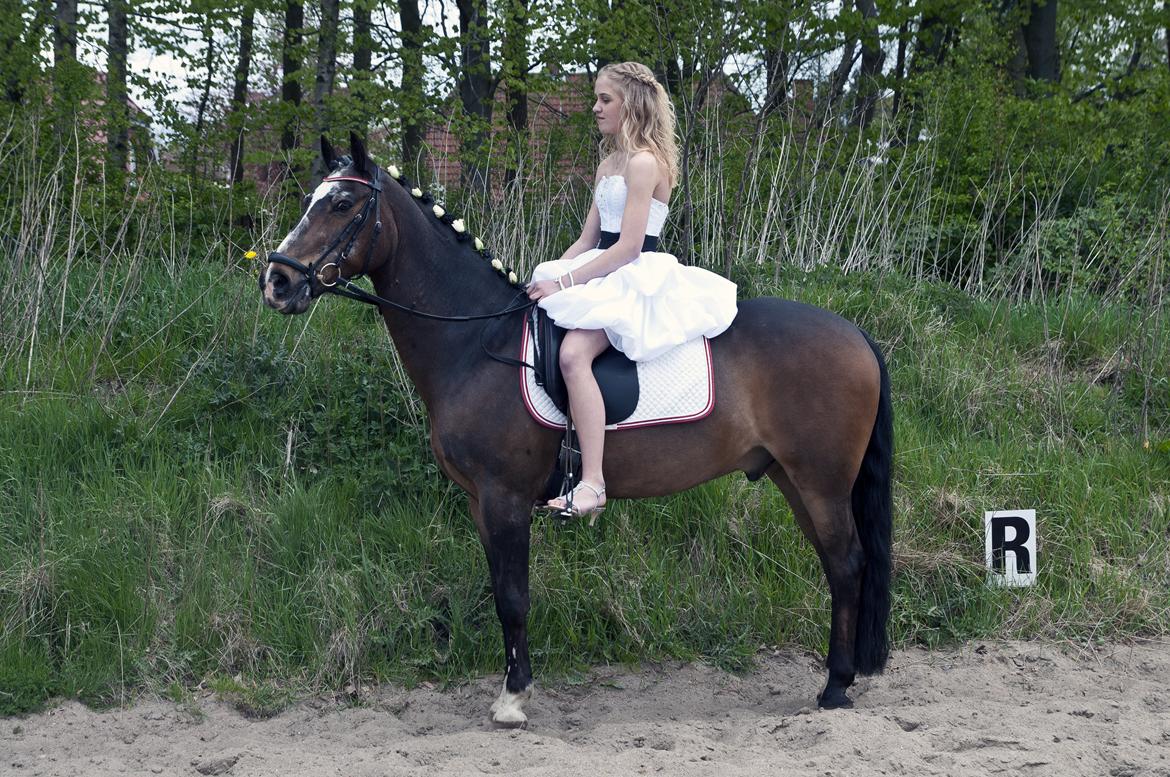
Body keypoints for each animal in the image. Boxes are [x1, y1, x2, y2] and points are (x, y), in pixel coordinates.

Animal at [259, 133, 893, 726]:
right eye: (310, 200)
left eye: (342, 204)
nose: (277, 282)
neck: (475, 342)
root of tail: (856, 334)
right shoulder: (480, 502)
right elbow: (501, 594)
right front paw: (512, 688)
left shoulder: (505, 497)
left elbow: (513, 598)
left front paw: (514, 699)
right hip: (793, 478)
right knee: (838, 566)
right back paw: (838, 680)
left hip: (821, 481)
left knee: (846, 564)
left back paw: (835, 688)